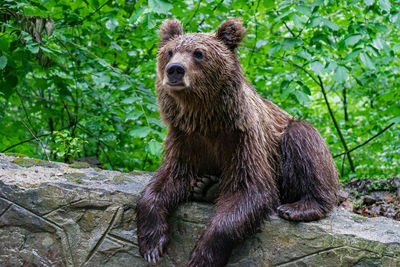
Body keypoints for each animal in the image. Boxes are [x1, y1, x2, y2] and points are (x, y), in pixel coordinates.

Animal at [136, 17, 340, 266]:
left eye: (199, 53)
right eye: (170, 51)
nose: (175, 69)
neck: (206, 119)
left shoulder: (242, 138)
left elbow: (250, 190)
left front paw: (202, 256)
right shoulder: (185, 138)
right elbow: (165, 180)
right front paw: (152, 245)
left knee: (303, 141)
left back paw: (298, 207)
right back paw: (206, 187)